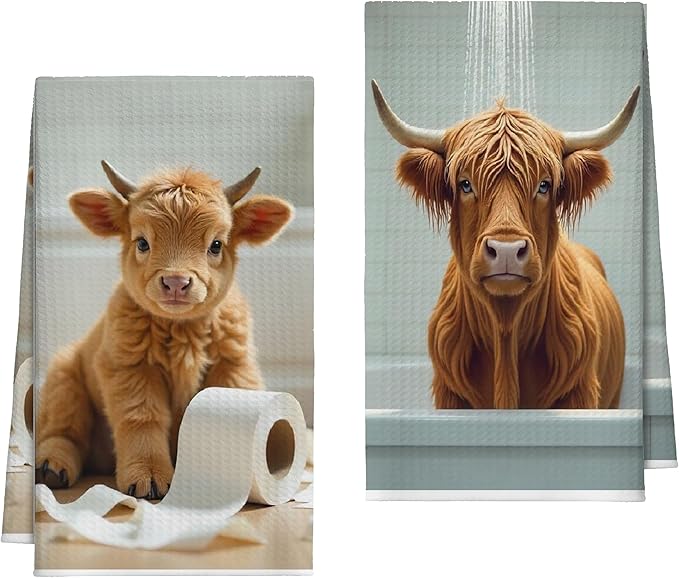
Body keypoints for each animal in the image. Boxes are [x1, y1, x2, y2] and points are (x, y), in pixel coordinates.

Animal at [35, 162, 293, 498]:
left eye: (216, 245)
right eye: (142, 242)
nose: (176, 282)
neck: (183, 331)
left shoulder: (233, 365)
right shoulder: (129, 368)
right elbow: (142, 418)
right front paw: (148, 475)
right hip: (63, 377)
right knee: (63, 431)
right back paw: (52, 466)